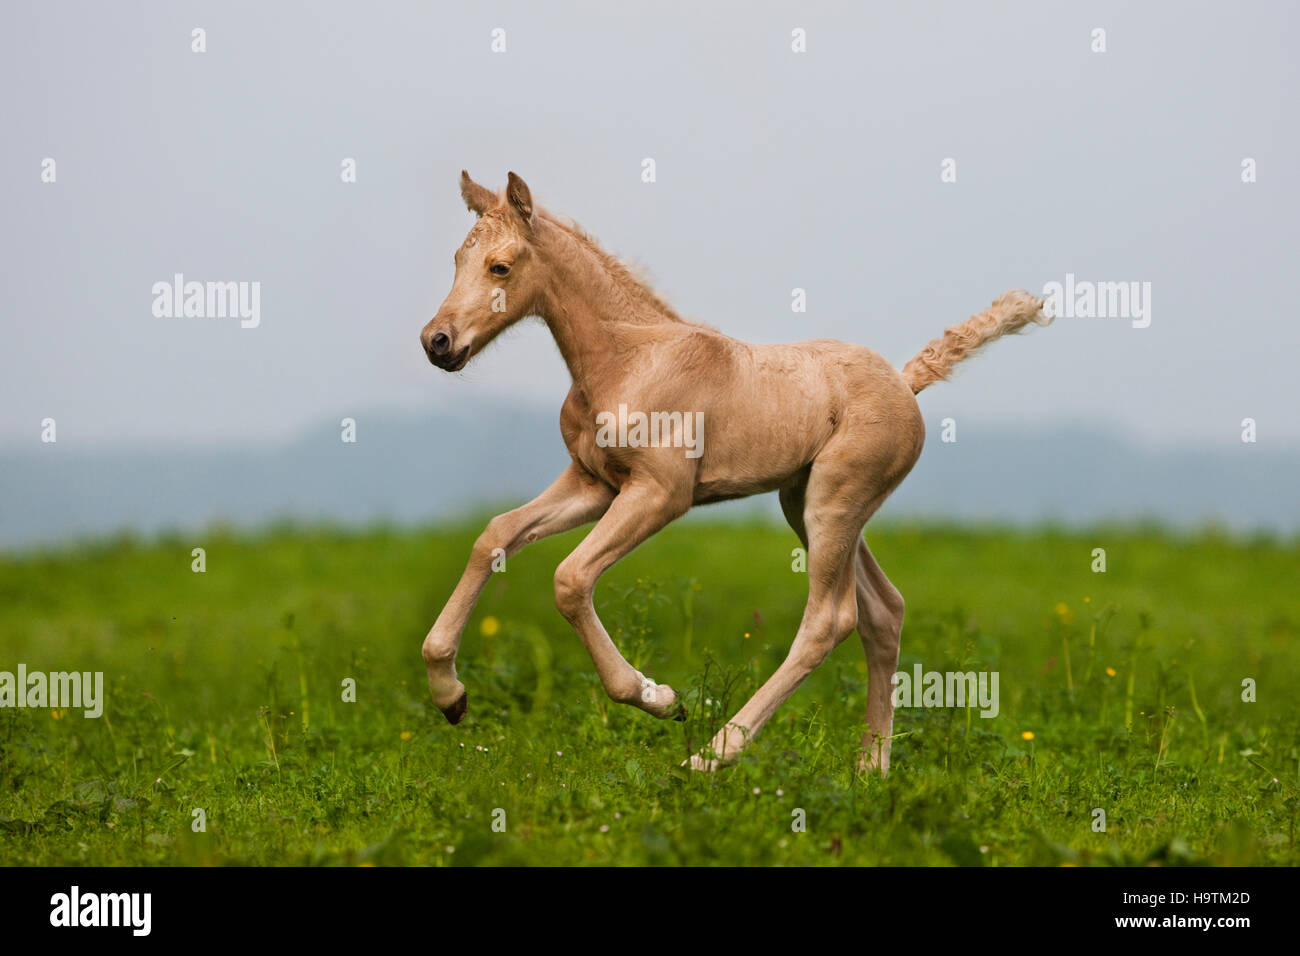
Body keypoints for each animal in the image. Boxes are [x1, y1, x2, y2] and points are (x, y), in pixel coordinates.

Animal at [419, 170, 1051, 774]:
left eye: (501, 266)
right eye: (455, 260)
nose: (437, 342)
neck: (629, 360)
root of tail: (904, 381)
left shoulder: (660, 494)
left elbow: (570, 579)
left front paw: (660, 698)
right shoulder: (593, 484)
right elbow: (495, 535)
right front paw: (450, 695)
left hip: (834, 504)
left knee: (830, 620)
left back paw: (711, 755)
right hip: (806, 504)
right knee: (884, 611)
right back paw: (871, 768)